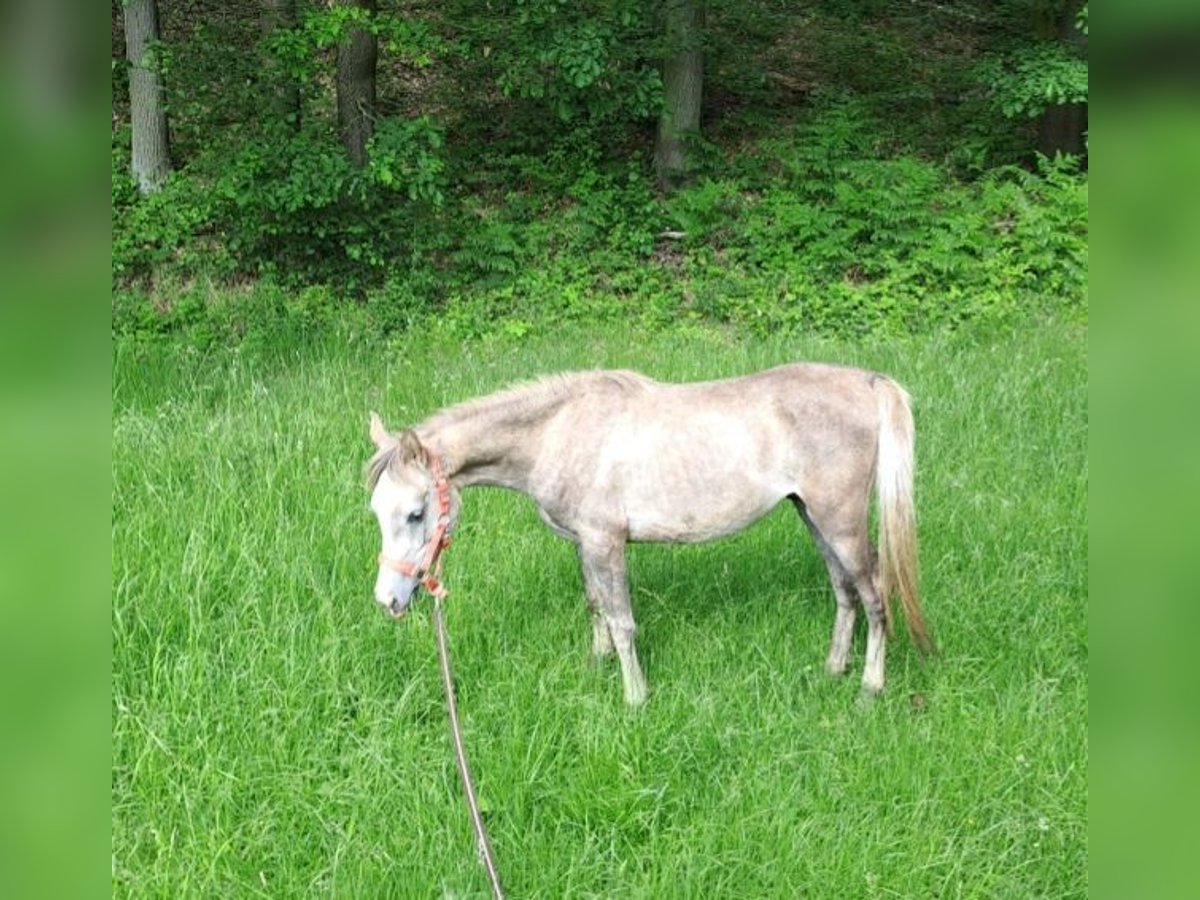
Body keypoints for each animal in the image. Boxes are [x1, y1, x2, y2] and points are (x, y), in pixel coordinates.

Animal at [364, 362, 936, 710]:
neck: (558, 432)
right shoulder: (585, 544)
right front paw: (596, 666)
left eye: (416, 513)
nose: (389, 601)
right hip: (814, 518)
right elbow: (596, 604)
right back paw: (834, 669)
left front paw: (635, 697)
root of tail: (867, 381)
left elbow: (623, 622)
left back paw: (869, 686)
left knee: (874, 595)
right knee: (845, 592)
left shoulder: (606, 542)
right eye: (376, 511)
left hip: (840, 523)